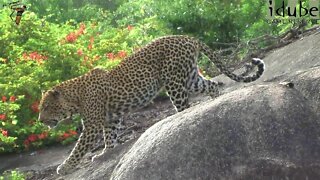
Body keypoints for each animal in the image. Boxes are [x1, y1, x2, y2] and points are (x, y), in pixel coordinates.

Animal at [38, 35, 264, 174]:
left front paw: (64, 167)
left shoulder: (92, 125)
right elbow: (110, 137)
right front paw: (105, 153)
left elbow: (78, 148)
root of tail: (187, 37)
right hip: (190, 77)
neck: (75, 96)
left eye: (46, 107)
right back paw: (213, 102)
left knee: (184, 106)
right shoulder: (111, 118)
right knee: (211, 85)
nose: (40, 120)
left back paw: (182, 119)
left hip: (174, 81)